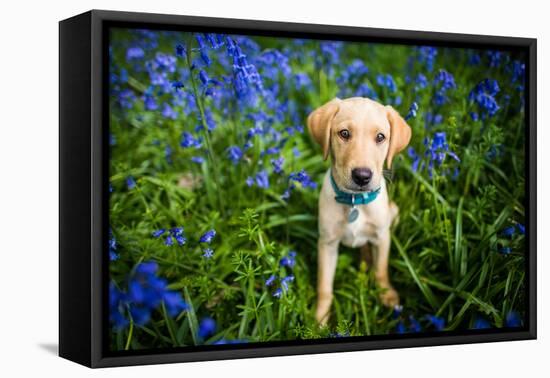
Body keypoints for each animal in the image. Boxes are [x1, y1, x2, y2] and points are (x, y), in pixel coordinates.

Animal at [308, 97, 412, 324]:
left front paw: (387, 295)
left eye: (380, 137)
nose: (362, 176)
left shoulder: (382, 237)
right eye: (344, 133)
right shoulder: (327, 243)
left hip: (394, 212)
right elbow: (324, 286)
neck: (355, 202)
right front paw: (319, 319)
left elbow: (381, 269)